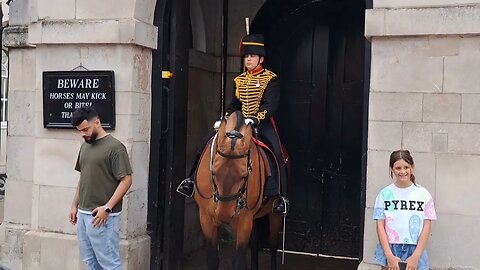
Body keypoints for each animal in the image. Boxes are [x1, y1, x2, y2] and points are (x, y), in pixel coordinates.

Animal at [193, 110, 284, 268]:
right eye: (214, 172)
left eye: (244, 175)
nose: (224, 215)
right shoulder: (206, 217)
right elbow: (212, 260)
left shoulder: (244, 221)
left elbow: (239, 262)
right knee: (254, 243)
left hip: (274, 215)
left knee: (273, 245)